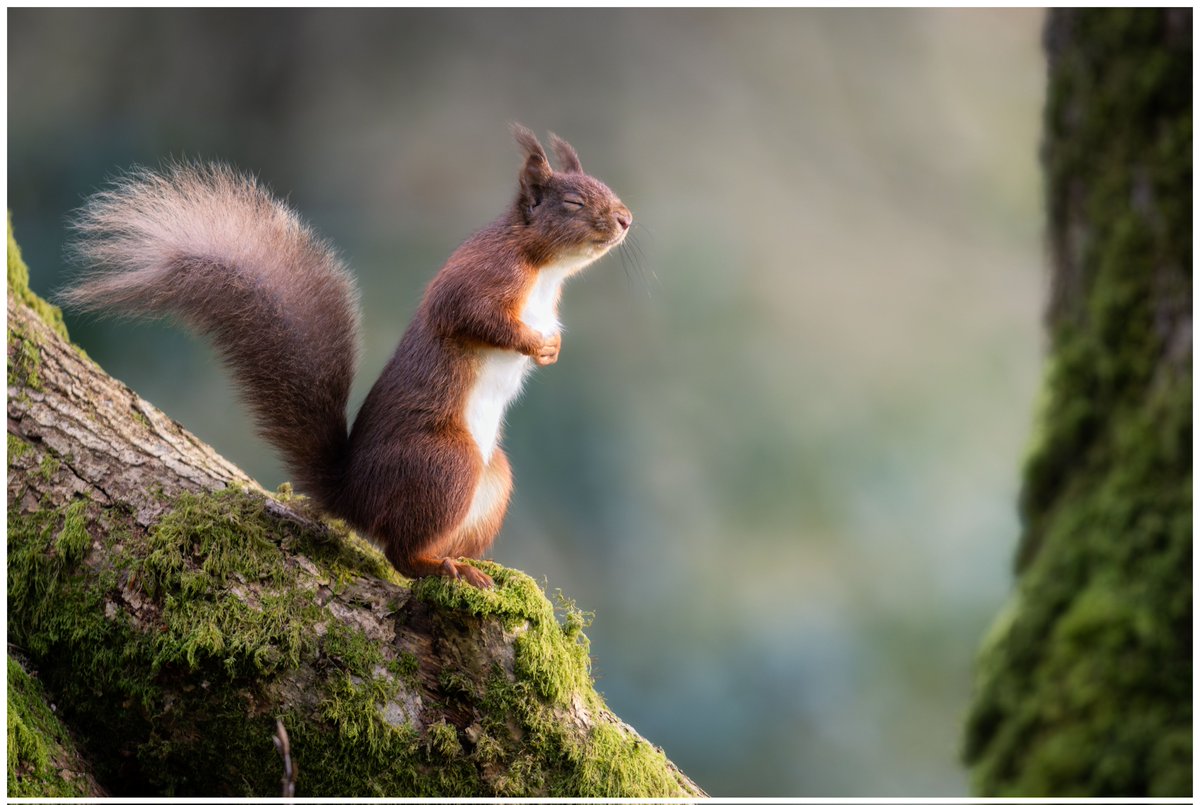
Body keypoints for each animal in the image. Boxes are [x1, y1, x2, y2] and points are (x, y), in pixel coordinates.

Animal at [65, 127, 633, 592]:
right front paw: (533, 344)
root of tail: (353, 498)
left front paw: (551, 348)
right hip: (447, 463)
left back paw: (475, 564)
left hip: (492, 478)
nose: (626, 219)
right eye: (575, 202)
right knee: (401, 554)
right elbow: (477, 319)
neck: (545, 269)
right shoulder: (480, 280)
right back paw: (448, 569)